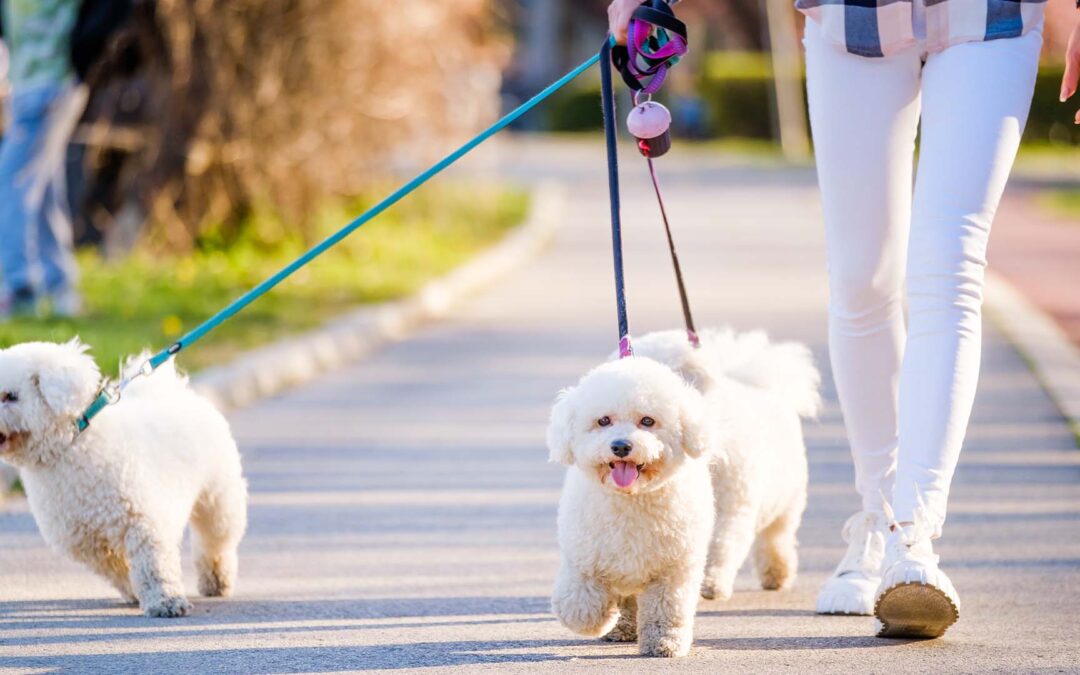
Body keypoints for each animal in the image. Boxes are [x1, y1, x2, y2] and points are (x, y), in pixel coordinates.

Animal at [0, 339, 247, 617]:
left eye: (10, 396)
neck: (71, 445)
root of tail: (177, 391)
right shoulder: (87, 542)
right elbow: (119, 569)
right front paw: (135, 592)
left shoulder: (143, 522)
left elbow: (153, 567)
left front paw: (166, 602)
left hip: (219, 498)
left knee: (215, 541)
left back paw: (216, 580)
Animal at [548, 328, 816, 656]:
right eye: (603, 420)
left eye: (647, 421)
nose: (621, 446)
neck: (632, 500)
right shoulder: (584, 556)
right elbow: (579, 605)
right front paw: (606, 620)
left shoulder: (674, 568)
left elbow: (667, 609)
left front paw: (664, 643)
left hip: (759, 500)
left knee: (762, 538)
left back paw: (761, 575)